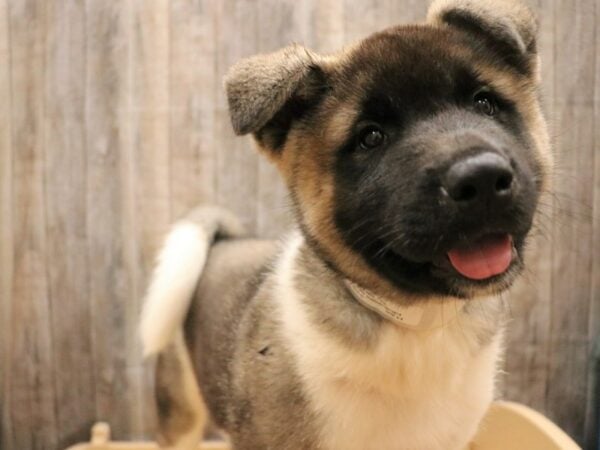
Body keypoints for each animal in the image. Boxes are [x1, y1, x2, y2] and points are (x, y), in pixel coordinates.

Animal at [141, 1, 552, 448]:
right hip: (180, 411)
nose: (480, 179)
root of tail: (226, 240)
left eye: (485, 103)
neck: (417, 324)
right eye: (370, 137)